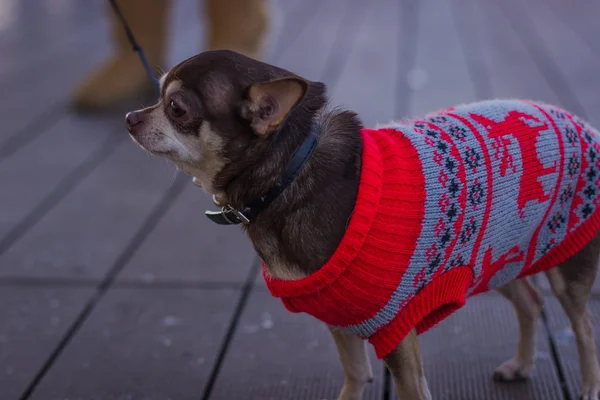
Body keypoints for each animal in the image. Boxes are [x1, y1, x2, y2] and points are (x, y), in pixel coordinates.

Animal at [124, 50, 600, 400]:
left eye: (176, 108)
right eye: (158, 95)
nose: (130, 117)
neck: (289, 176)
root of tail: (583, 124)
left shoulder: (398, 336)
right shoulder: (340, 319)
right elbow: (354, 377)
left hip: (567, 271)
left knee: (583, 329)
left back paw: (587, 385)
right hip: (496, 254)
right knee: (530, 303)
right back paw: (521, 364)